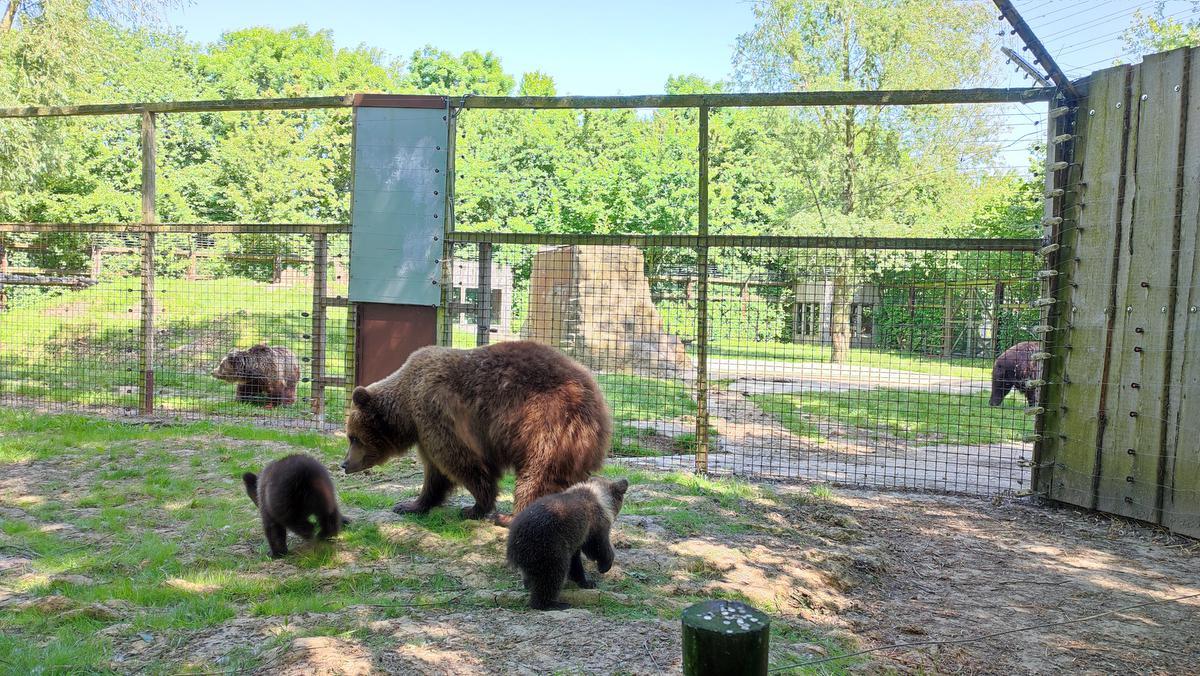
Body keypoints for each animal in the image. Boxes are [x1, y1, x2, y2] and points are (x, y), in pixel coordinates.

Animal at [343, 341, 614, 525]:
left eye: (353, 437)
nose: (344, 464)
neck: (406, 409)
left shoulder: (435, 414)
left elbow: (461, 462)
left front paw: (475, 507)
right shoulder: (425, 431)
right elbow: (435, 474)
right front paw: (411, 504)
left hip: (545, 424)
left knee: (537, 475)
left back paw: (509, 517)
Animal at [504, 475, 628, 614]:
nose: (625, 481)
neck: (599, 497)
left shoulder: (573, 537)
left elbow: (575, 561)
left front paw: (584, 581)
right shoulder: (593, 525)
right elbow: (598, 546)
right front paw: (603, 568)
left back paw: (529, 585)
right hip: (548, 546)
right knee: (552, 575)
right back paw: (553, 604)